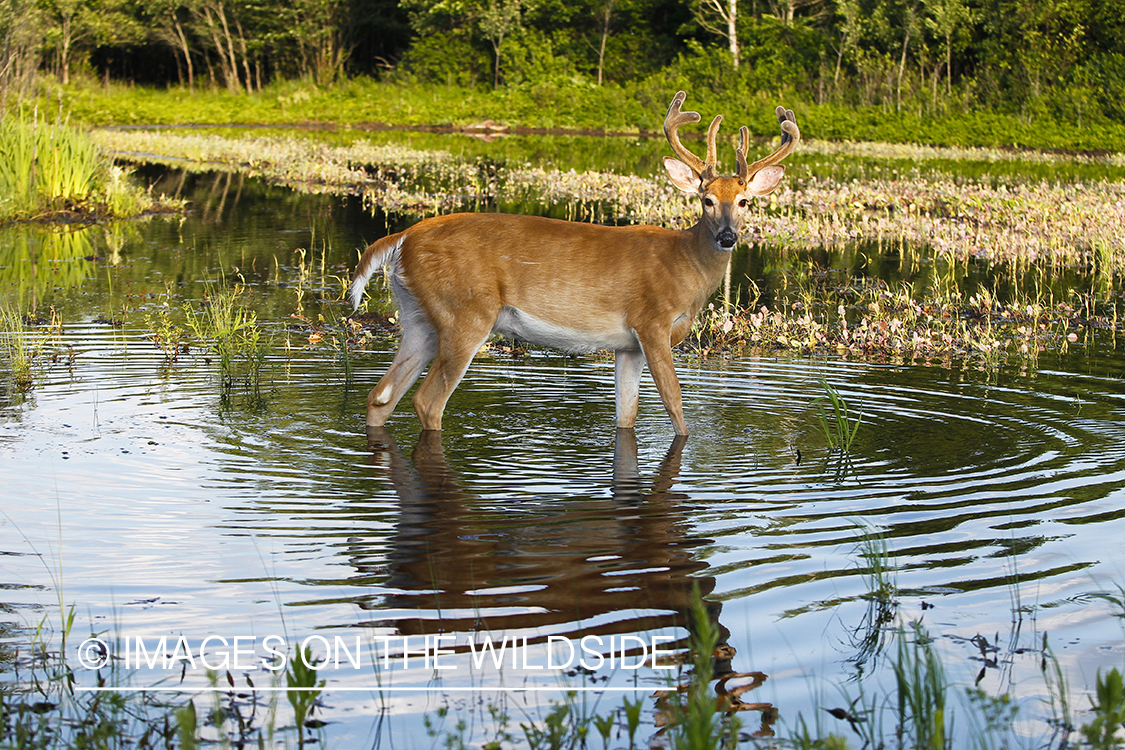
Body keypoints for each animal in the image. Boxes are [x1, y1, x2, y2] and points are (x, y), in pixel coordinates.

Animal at [346, 91, 796, 436]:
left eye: (745, 201)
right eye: (706, 200)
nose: (727, 237)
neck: (684, 263)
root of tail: (404, 238)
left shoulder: (627, 345)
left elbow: (627, 414)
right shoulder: (651, 321)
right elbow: (673, 401)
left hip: (419, 316)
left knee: (381, 396)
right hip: (466, 311)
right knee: (427, 401)